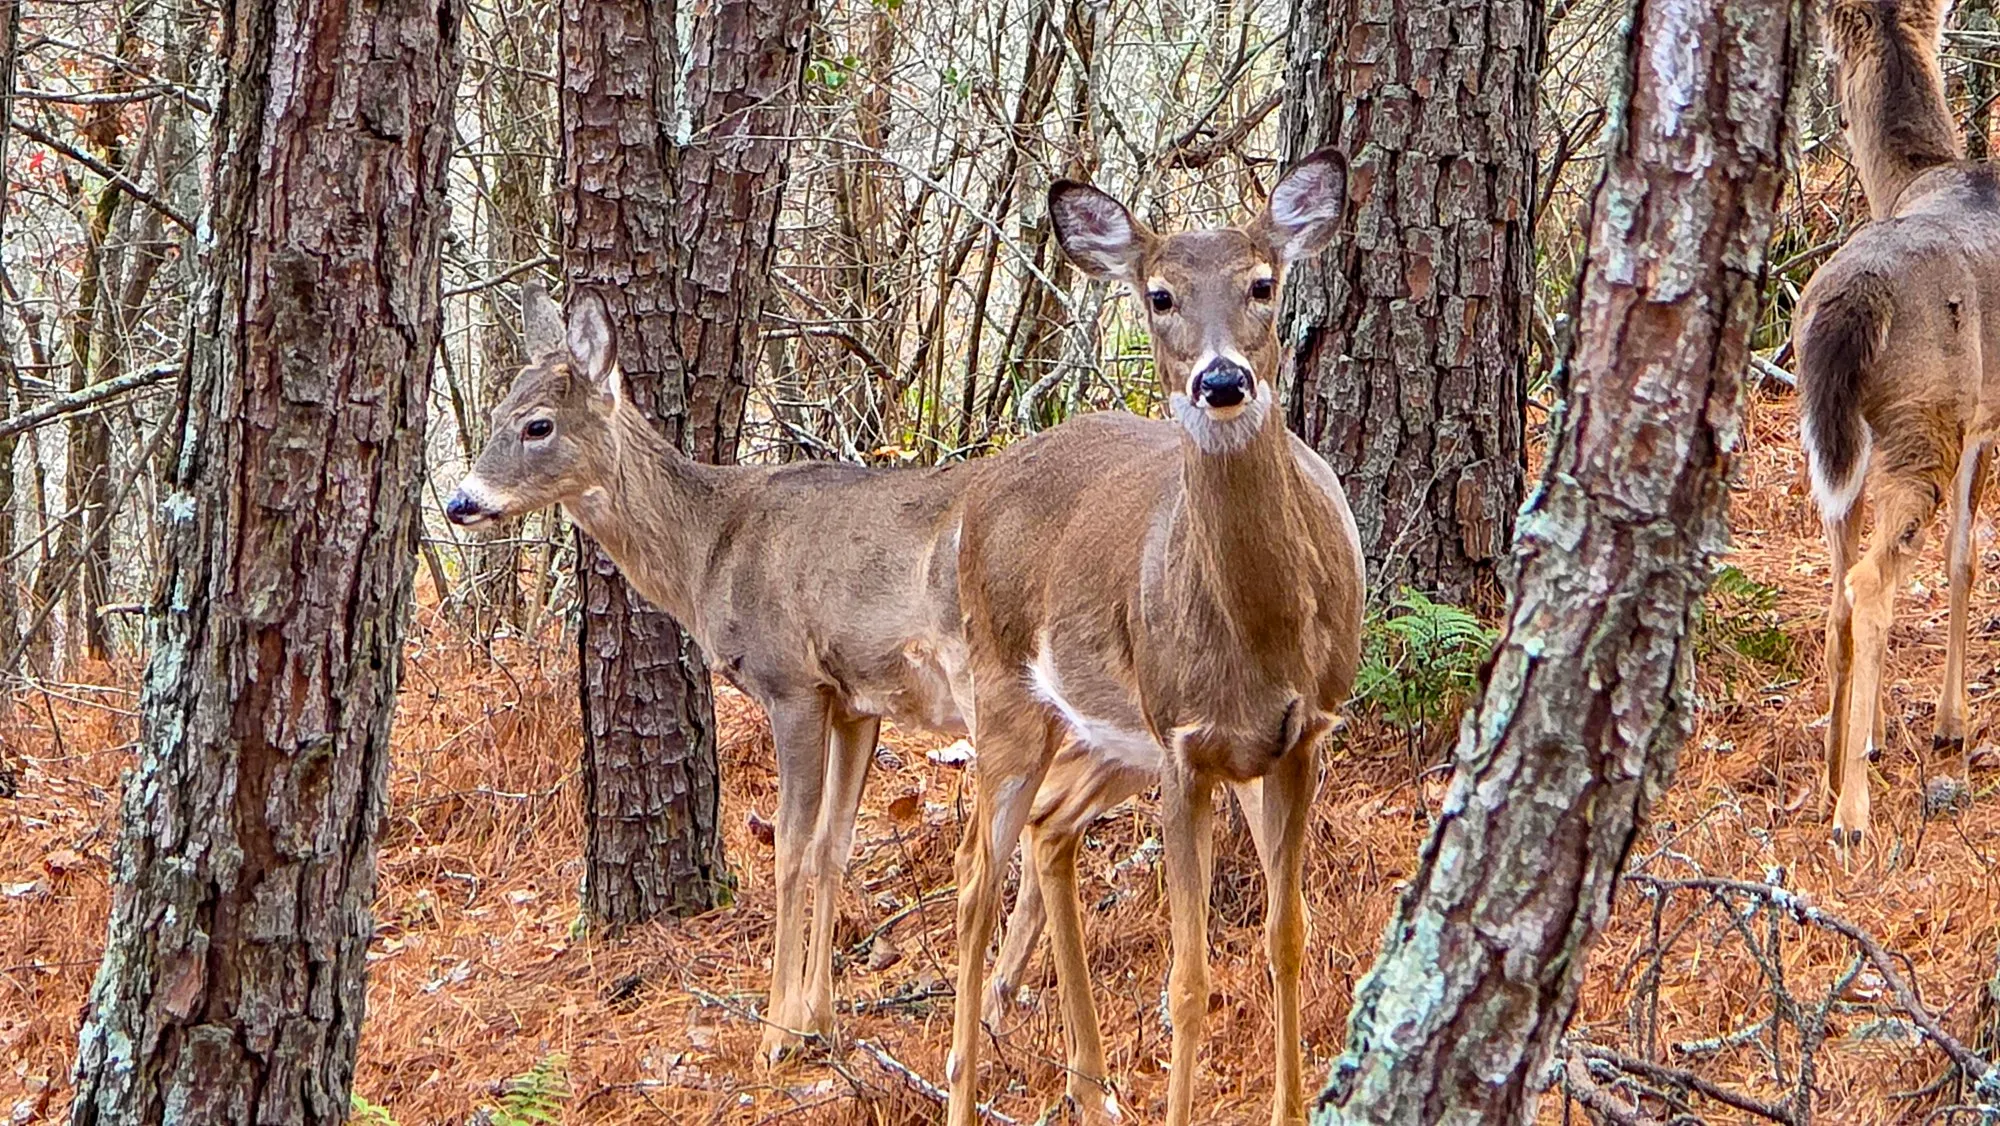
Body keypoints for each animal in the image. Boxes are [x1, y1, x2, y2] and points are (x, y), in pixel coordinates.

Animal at [445, 286, 1142, 1065]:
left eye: (538, 424)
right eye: (496, 412)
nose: (460, 502)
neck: (709, 550)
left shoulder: (791, 683)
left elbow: (791, 847)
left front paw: (777, 1029)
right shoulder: (856, 699)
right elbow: (835, 846)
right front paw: (820, 1016)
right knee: (1051, 822)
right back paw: (999, 1010)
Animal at [942, 149, 1363, 1126]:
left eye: (1262, 282)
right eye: (1160, 295)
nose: (1222, 381)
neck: (1262, 635)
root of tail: (977, 489)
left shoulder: (1304, 738)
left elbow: (1287, 939)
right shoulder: (1183, 744)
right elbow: (1187, 978)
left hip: (1110, 735)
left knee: (1051, 830)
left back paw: (1091, 1086)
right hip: (1006, 694)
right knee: (976, 877)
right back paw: (963, 1087)